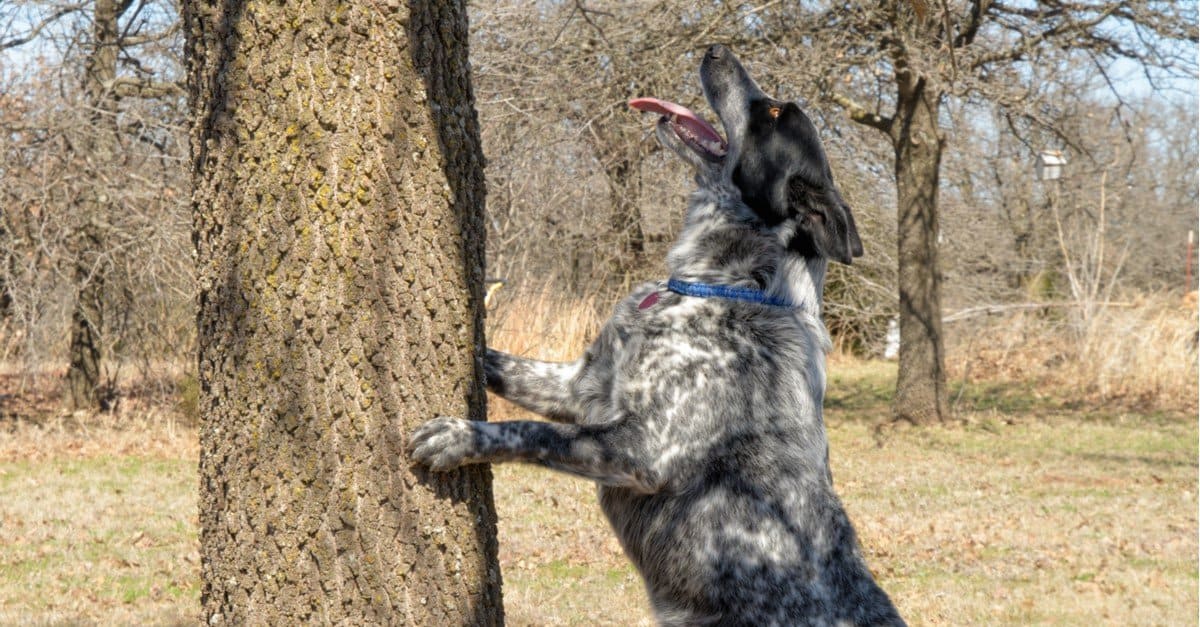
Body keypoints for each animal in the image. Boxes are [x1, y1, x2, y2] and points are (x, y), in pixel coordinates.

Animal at [408, 45, 902, 624]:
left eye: (776, 112)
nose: (716, 48)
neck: (719, 284)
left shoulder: (641, 449)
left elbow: (530, 432)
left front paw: (460, 436)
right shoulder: (581, 386)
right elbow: (506, 366)